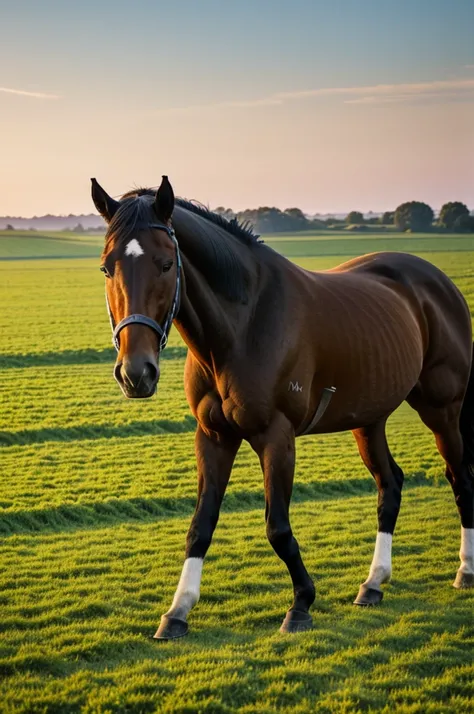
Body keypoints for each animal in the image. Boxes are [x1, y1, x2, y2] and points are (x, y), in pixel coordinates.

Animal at [91, 175, 474, 636]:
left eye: (166, 264)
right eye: (107, 267)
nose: (136, 373)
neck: (243, 325)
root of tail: (438, 282)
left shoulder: (276, 435)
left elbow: (277, 527)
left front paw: (301, 604)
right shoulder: (214, 437)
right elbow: (200, 526)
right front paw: (177, 611)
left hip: (443, 409)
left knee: (459, 477)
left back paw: (465, 570)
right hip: (370, 419)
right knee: (390, 485)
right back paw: (373, 583)